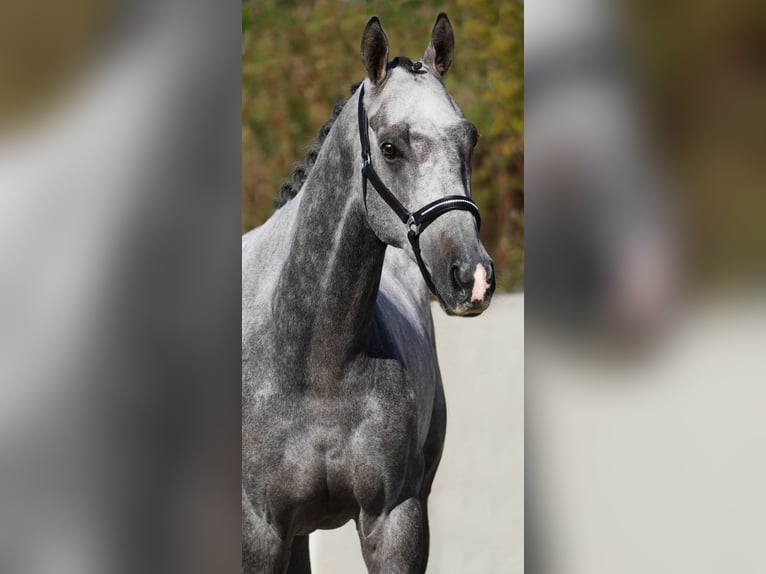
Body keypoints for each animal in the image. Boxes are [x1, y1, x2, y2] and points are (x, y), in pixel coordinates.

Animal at [244, 14, 498, 574]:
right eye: (390, 148)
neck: (315, 364)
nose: (472, 276)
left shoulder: (395, 520)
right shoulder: (260, 531)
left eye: (469, 140)